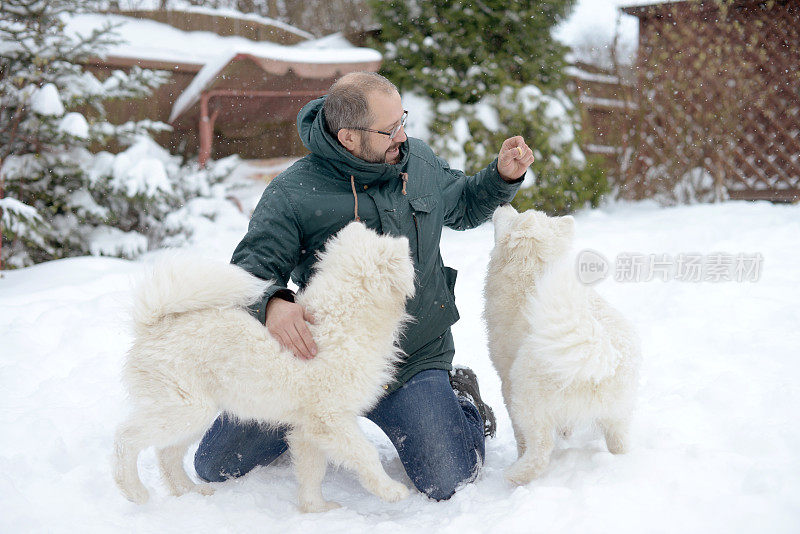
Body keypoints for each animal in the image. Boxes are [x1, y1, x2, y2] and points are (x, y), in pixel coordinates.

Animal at [116, 223, 422, 516]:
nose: (408, 243)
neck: (342, 318)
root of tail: (154, 325)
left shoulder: (308, 427)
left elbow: (312, 472)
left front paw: (316, 509)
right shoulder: (330, 418)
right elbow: (364, 452)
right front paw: (391, 491)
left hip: (195, 412)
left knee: (166, 455)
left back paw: (191, 492)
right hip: (184, 408)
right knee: (127, 437)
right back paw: (133, 490)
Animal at [484, 204, 640, 486]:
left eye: (514, 216)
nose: (504, 204)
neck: (531, 271)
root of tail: (600, 354)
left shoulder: (506, 380)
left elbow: (518, 434)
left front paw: (518, 453)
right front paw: (566, 432)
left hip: (528, 399)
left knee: (540, 449)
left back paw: (515, 473)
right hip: (619, 412)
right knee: (620, 442)